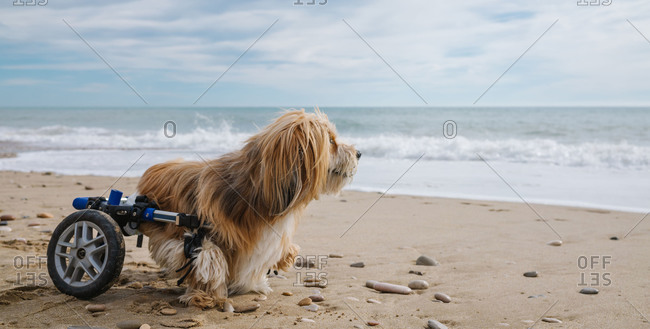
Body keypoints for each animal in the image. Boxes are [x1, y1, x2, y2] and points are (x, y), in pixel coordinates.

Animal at [135, 108, 360, 308]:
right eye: (331, 141)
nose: (358, 153)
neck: (255, 192)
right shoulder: (190, 233)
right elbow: (208, 257)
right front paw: (205, 294)